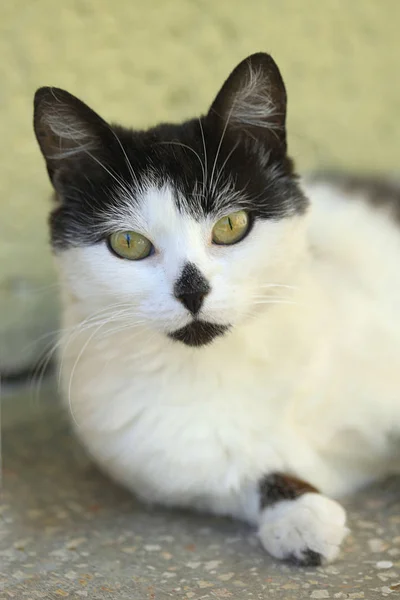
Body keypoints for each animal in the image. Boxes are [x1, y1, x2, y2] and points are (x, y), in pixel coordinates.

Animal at [32, 52, 400, 568]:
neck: (219, 365)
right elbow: (251, 475)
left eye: (230, 225)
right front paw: (298, 516)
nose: (192, 291)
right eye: (128, 243)